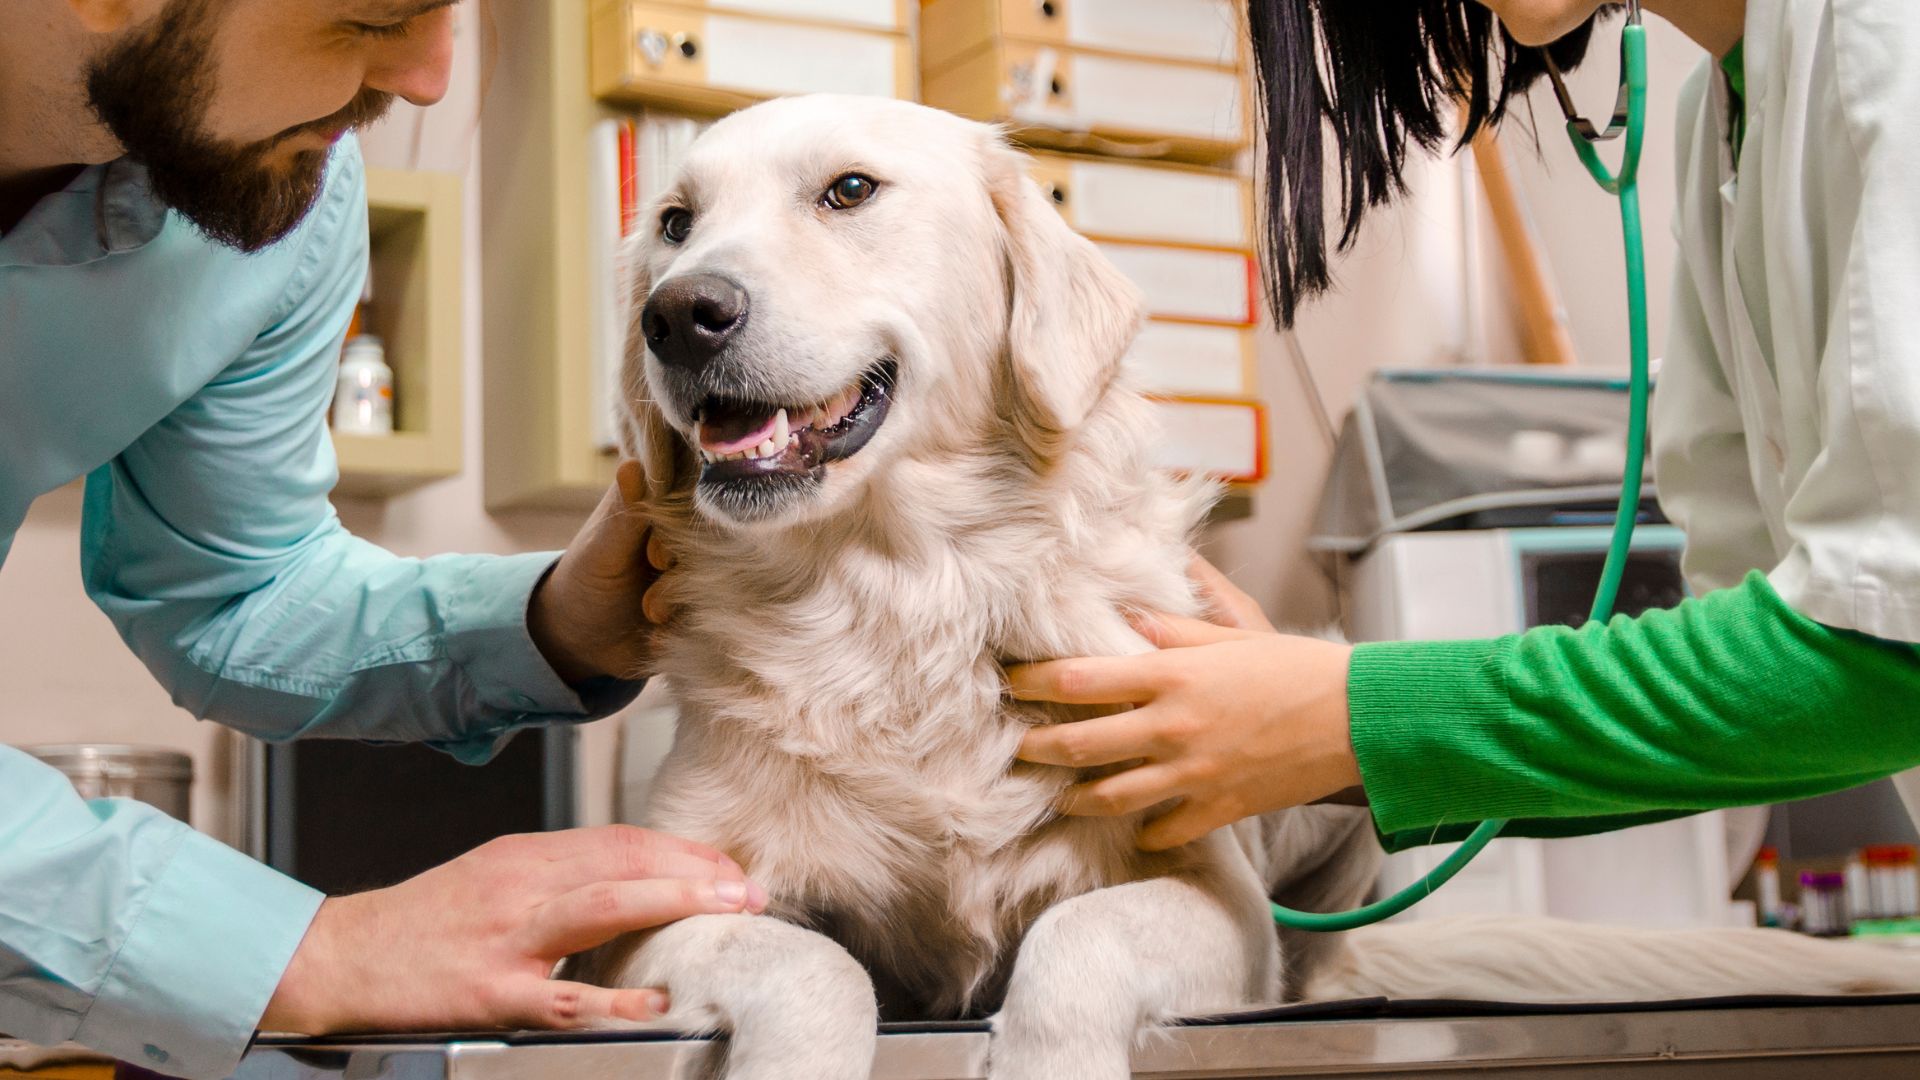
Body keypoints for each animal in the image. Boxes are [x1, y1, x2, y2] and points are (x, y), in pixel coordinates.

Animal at [568, 94, 1920, 1076]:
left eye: (848, 191)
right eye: (677, 220)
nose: (679, 315)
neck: (902, 597)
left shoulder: (1209, 899)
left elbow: (1076, 941)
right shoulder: (641, 919)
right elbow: (815, 967)